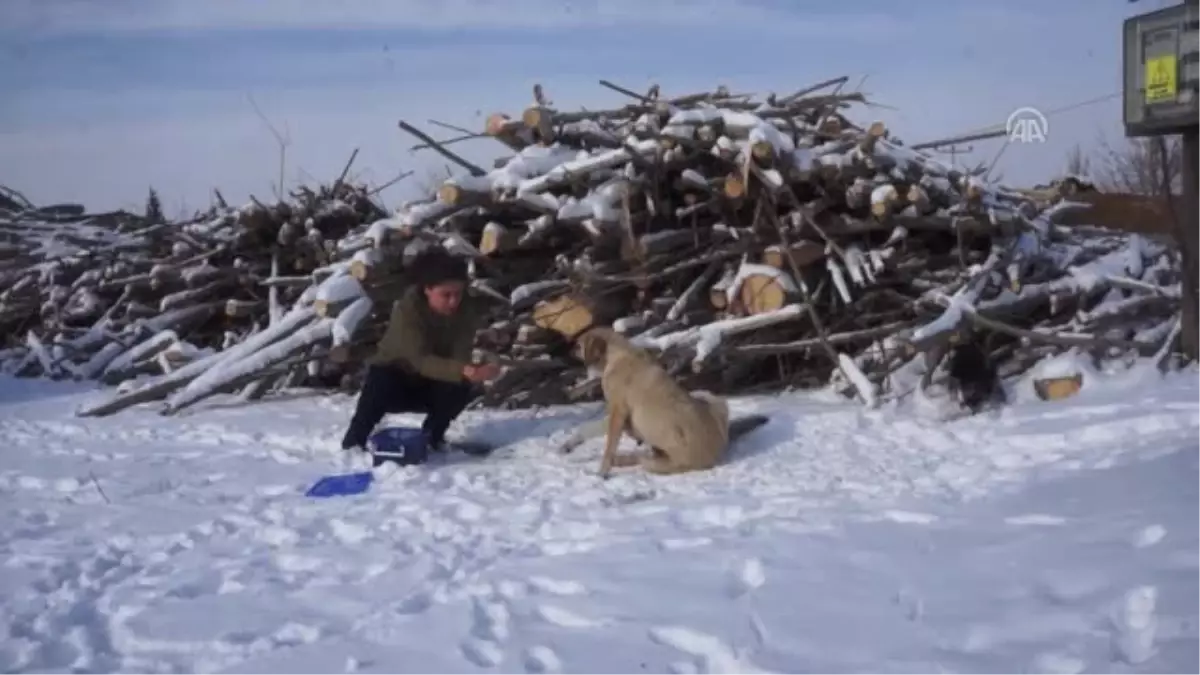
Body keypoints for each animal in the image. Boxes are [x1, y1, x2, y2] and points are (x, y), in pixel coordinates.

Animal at [561, 324, 768, 473]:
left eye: (578, 345)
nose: (566, 351)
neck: (616, 354)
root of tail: (719, 447)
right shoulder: (618, 414)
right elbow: (588, 429)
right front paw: (569, 444)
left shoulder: (618, 411)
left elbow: (609, 444)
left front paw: (603, 469)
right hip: (708, 397)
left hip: (659, 461)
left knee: (642, 459)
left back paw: (621, 459)